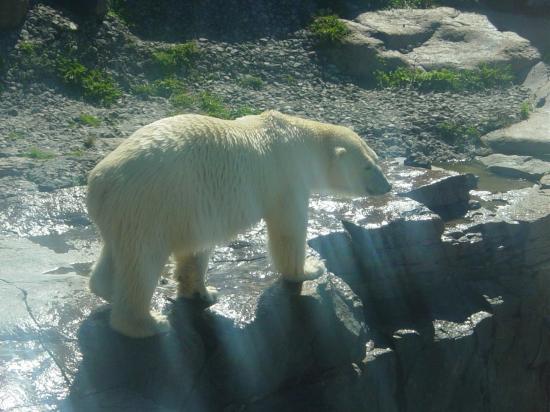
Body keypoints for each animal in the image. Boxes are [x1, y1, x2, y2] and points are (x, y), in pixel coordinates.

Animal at [87, 110, 391, 338]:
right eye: (367, 166)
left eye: (376, 159)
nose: (387, 185)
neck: (300, 139)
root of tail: (99, 182)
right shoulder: (286, 178)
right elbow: (288, 228)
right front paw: (310, 269)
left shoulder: (194, 208)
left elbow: (196, 247)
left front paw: (204, 292)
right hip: (149, 203)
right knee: (143, 262)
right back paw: (148, 323)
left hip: (130, 212)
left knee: (118, 253)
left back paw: (106, 289)